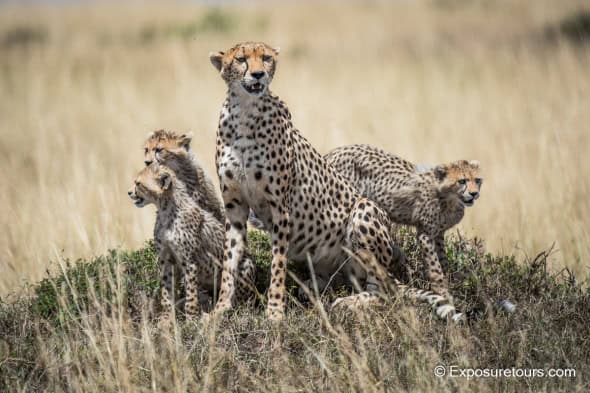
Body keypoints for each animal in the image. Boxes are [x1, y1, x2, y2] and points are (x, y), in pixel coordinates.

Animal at [208, 41, 462, 320]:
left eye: (265, 58)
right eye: (241, 59)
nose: (258, 75)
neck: (245, 111)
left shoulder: (280, 209)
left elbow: (277, 265)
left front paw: (274, 312)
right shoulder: (235, 208)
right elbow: (230, 261)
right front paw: (220, 309)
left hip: (365, 210)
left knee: (384, 289)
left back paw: (349, 302)